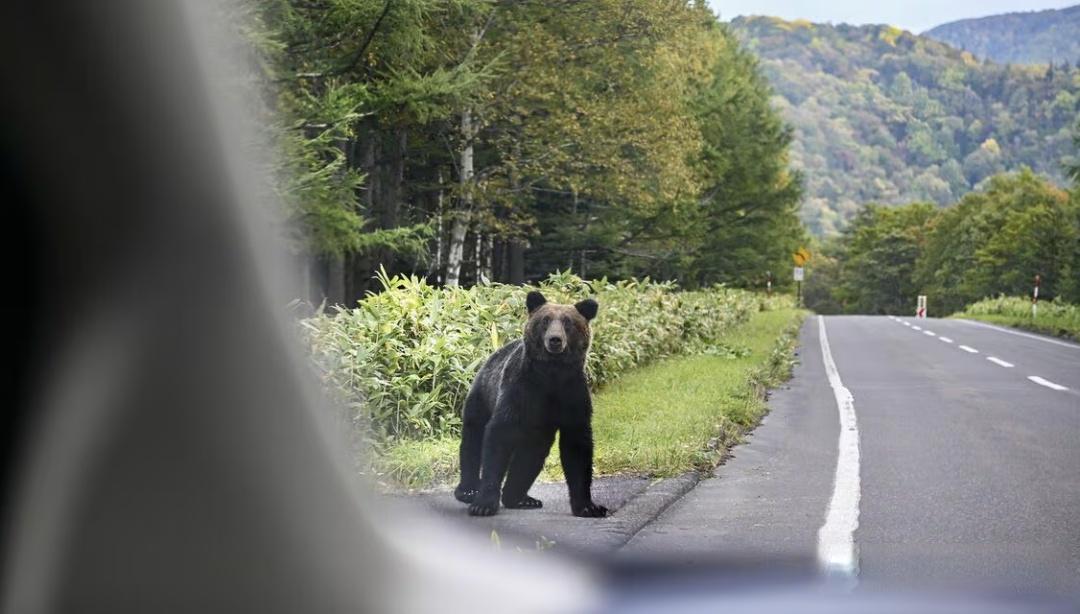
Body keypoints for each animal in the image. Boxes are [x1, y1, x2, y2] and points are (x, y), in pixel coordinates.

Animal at [453, 290, 609, 518]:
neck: (551, 374)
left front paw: (589, 507)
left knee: (530, 455)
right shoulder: (520, 390)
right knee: (473, 441)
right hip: (481, 397)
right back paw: (468, 490)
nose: (555, 340)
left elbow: (577, 445)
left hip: (538, 430)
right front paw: (483, 504)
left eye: (568, 322)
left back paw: (520, 498)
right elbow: (498, 435)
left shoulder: (572, 394)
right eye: (545, 320)